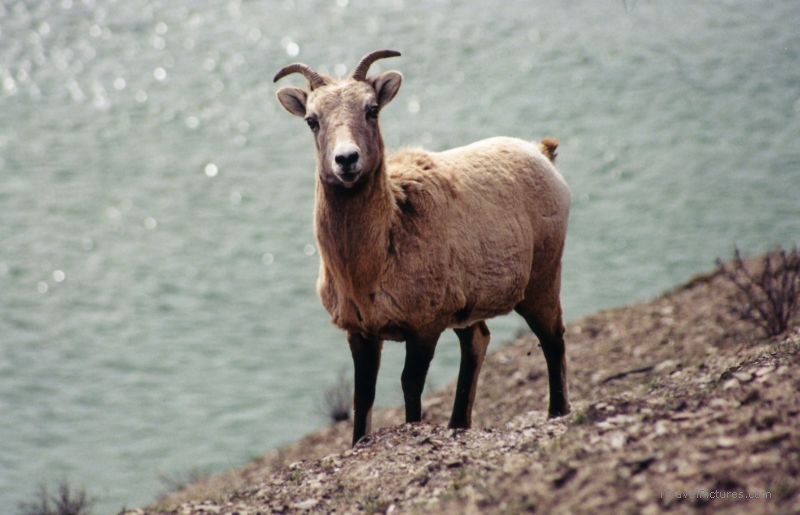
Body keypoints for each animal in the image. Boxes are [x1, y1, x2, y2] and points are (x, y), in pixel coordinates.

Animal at [274, 50, 571, 446]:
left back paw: (557, 412)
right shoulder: (361, 332)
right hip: (468, 309)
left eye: (372, 109)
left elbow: (410, 387)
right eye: (312, 120)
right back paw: (458, 424)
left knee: (552, 339)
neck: (368, 268)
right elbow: (362, 396)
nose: (347, 160)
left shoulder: (424, 327)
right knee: (478, 341)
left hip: (541, 280)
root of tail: (542, 153)